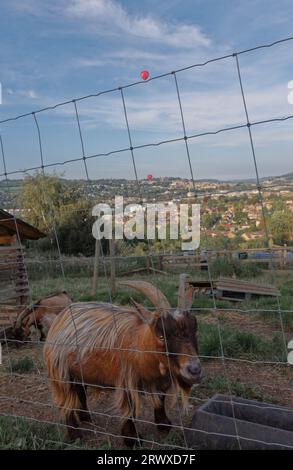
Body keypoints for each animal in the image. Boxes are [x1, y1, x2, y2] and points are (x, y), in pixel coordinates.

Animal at [43, 278, 200, 446]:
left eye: (195, 330)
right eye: (161, 336)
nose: (194, 370)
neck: (140, 342)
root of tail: (59, 318)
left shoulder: (160, 378)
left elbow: (160, 399)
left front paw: (164, 425)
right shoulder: (126, 379)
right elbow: (130, 407)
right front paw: (132, 439)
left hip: (78, 372)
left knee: (80, 391)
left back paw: (86, 418)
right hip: (60, 373)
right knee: (66, 401)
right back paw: (75, 435)